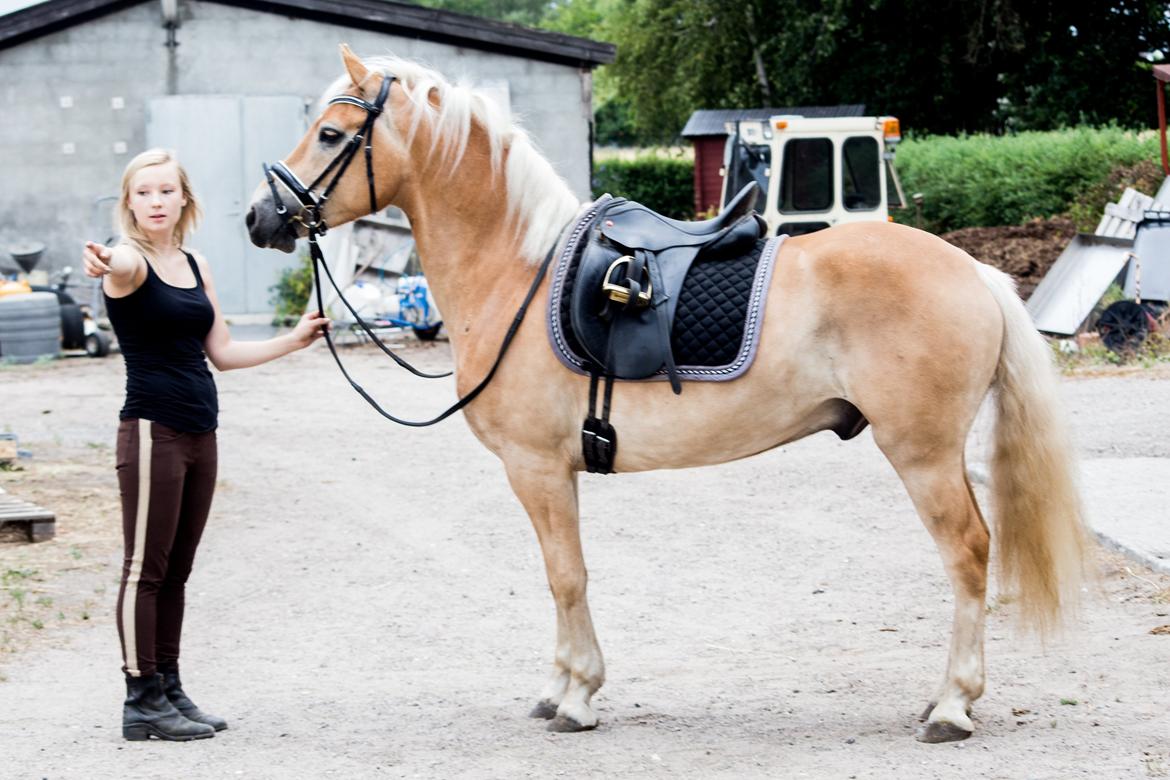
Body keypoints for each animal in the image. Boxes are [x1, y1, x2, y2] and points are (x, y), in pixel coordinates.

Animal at [244, 45, 1085, 743]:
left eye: (329, 135)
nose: (261, 217)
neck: (518, 271)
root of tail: (971, 270)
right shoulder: (548, 473)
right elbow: (563, 577)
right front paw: (560, 688)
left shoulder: (536, 469)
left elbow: (566, 575)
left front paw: (578, 697)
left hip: (923, 453)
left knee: (968, 553)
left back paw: (952, 705)